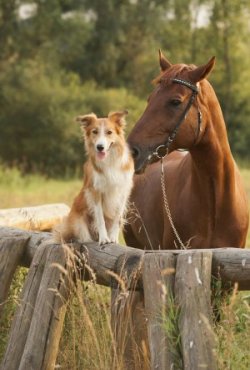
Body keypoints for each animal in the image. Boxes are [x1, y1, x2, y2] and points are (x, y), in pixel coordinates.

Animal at [53, 111, 134, 244]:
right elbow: (100, 218)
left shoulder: (123, 190)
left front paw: (113, 237)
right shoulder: (95, 191)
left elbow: (118, 217)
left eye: (109, 132)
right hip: (79, 224)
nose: (100, 147)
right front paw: (104, 238)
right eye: (94, 131)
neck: (109, 161)